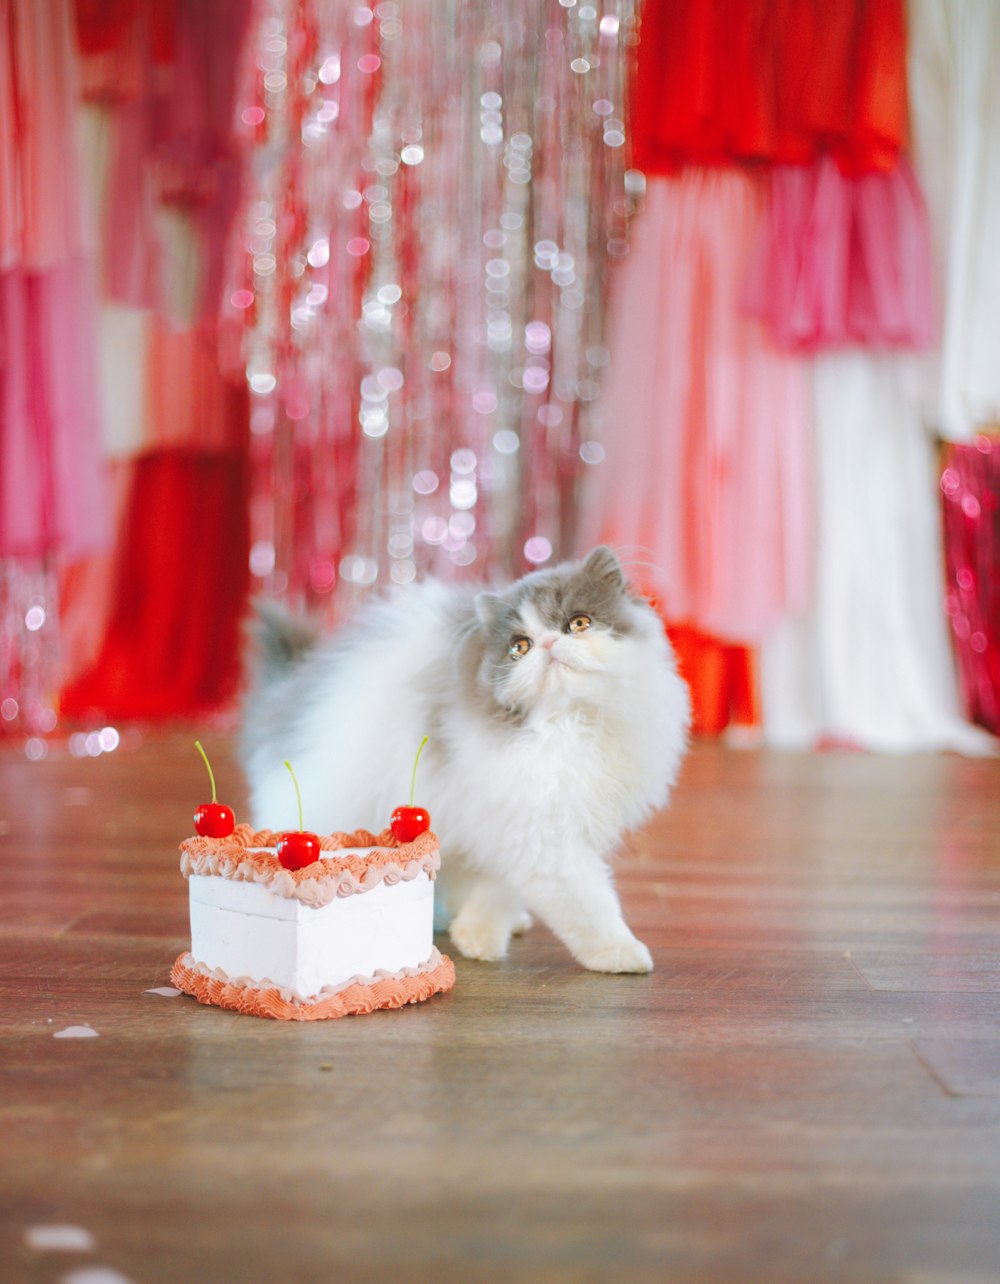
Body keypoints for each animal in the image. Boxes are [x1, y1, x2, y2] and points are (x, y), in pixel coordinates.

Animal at [241, 541, 693, 970]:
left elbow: (500, 890)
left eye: (578, 623)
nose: (548, 644)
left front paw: (479, 934)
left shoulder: (511, 823)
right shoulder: (542, 837)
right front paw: (620, 953)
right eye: (519, 647)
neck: (572, 723)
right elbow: (588, 905)